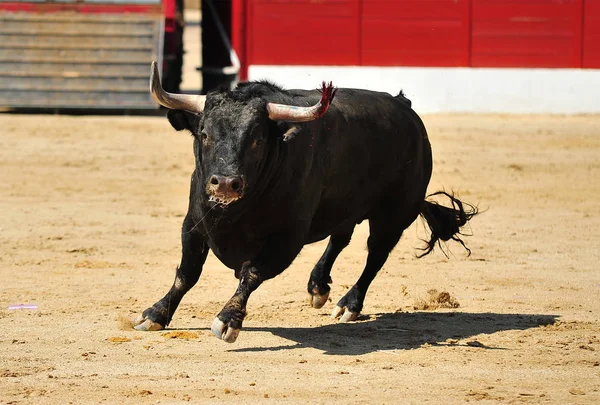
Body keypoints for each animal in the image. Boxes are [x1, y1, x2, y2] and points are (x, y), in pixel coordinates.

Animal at [132, 61, 478, 342]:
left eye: (257, 139)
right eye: (204, 134)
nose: (227, 183)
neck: (235, 213)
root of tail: (404, 106)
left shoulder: (287, 238)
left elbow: (252, 273)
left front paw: (227, 320)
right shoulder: (194, 224)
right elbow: (186, 273)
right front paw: (155, 314)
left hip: (394, 214)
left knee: (375, 255)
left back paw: (348, 305)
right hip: (345, 207)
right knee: (341, 238)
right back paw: (318, 286)